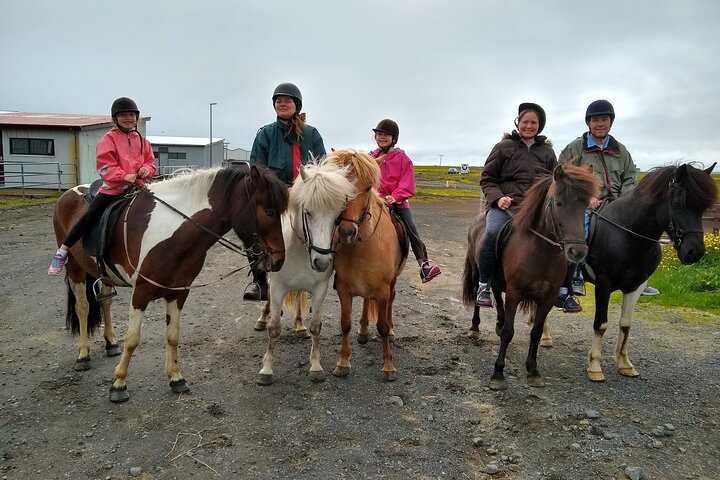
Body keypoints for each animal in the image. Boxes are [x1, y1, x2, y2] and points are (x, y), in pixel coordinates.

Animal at [52, 165, 288, 402]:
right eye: (269, 211)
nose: (279, 260)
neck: (170, 233)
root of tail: (71, 192)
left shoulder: (178, 292)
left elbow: (173, 335)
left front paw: (176, 378)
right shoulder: (141, 293)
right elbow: (132, 339)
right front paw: (118, 383)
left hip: (106, 275)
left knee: (105, 303)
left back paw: (110, 343)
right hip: (75, 268)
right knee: (83, 307)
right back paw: (83, 354)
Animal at [255, 159, 356, 384]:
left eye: (337, 216)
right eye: (308, 212)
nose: (322, 261)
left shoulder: (320, 288)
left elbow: (316, 326)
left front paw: (316, 367)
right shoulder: (278, 287)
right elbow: (274, 328)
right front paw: (266, 369)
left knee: (298, 294)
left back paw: (300, 325)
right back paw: (263, 318)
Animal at [328, 148, 408, 380]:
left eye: (368, 188)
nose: (347, 232)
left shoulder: (382, 290)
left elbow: (382, 327)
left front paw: (388, 366)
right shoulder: (343, 289)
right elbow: (345, 324)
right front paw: (343, 362)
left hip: (391, 283)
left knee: (391, 301)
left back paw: (391, 330)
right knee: (365, 300)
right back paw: (363, 331)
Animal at [462, 164, 600, 390]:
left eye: (585, 206)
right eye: (558, 203)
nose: (577, 252)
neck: (540, 252)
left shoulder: (548, 298)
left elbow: (536, 332)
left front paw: (533, 371)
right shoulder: (515, 293)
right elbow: (509, 332)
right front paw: (498, 374)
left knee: (496, 293)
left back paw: (498, 322)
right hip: (477, 271)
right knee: (478, 294)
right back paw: (475, 326)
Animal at [544, 163, 716, 380]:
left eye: (703, 208)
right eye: (678, 204)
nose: (695, 252)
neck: (627, 235)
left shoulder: (636, 286)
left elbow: (626, 325)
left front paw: (624, 363)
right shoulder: (604, 284)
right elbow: (600, 324)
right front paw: (595, 366)